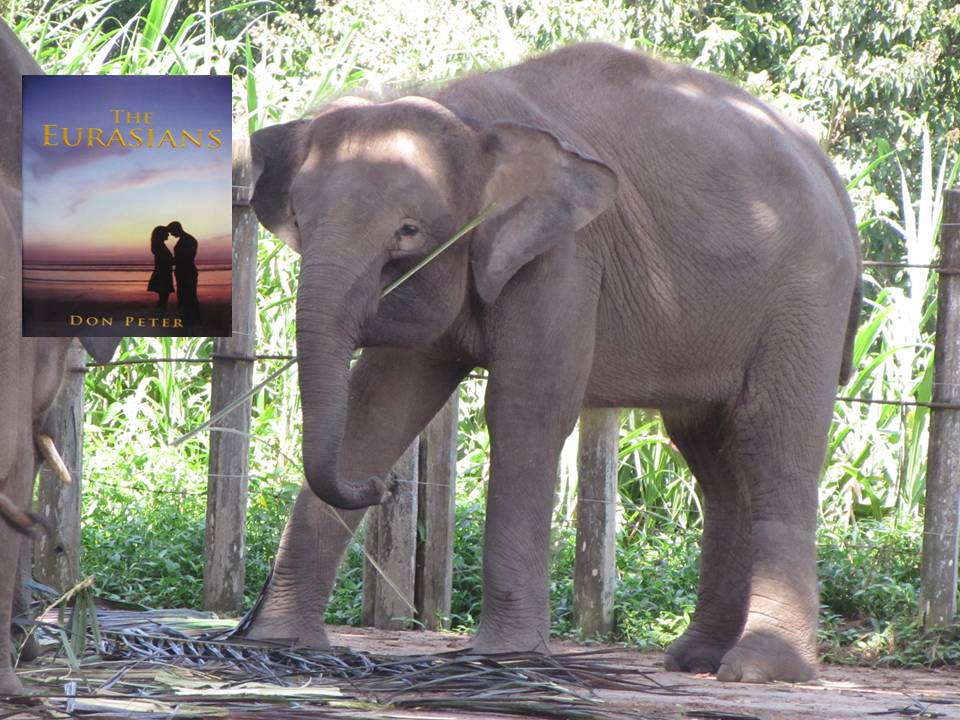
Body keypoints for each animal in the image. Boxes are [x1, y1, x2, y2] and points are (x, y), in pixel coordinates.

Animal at [243, 42, 861, 684]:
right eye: (298, 222)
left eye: (408, 232)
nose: (382, 488)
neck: (468, 116)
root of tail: (829, 174)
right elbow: (377, 406)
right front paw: (278, 643)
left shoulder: (566, 254)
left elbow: (528, 406)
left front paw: (505, 659)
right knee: (712, 458)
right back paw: (695, 659)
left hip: (805, 301)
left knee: (774, 445)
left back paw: (759, 670)